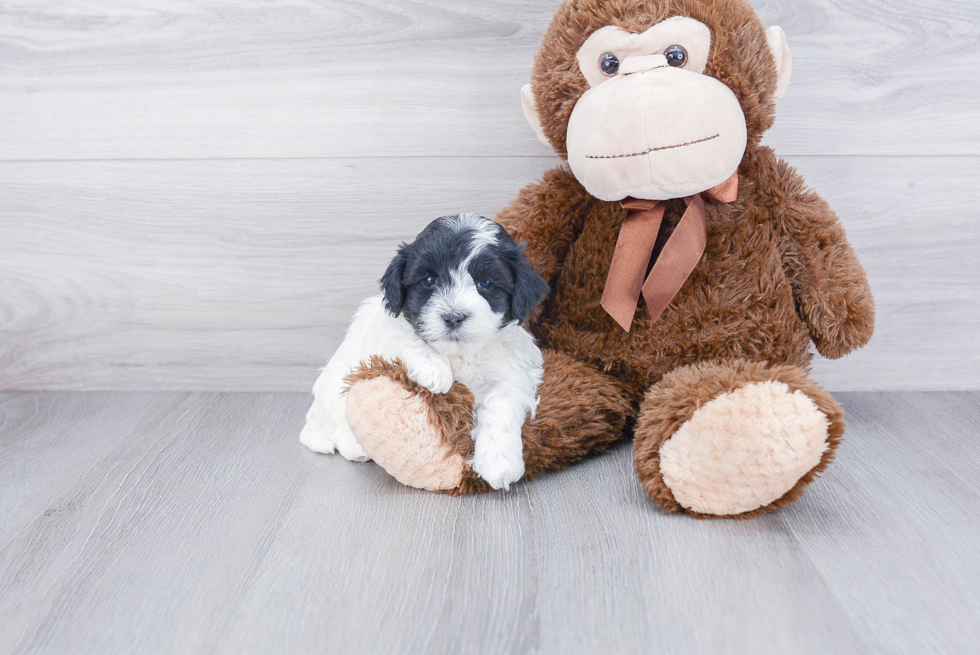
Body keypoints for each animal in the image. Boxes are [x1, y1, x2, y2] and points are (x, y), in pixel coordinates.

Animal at [302, 215, 548, 492]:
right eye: (429, 280)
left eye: (485, 283)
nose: (453, 317)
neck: (459, 353)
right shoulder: (382, 329)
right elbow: (404, 333)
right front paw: (434, 369)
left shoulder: (512, 372)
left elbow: (501, 405)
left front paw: (499, 463)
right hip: (335, 381)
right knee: (339, 419)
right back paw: (355, 445)